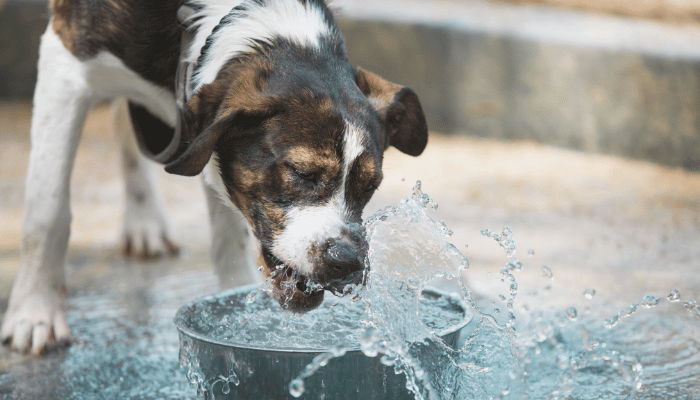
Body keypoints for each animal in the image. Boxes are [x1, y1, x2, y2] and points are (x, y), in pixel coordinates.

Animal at [1, 0, 426, 354]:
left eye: (370, 186)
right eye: (301, 173)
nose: (347, 262)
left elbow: (229, 239)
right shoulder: (65, 61)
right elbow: (47, 213)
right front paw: (35, 314)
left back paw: (144, 219)